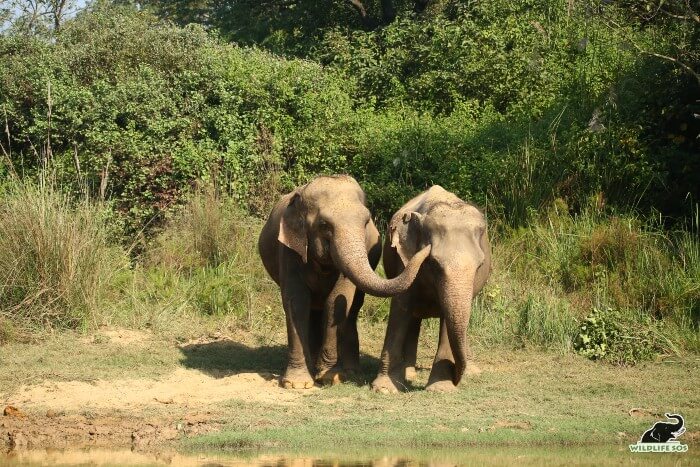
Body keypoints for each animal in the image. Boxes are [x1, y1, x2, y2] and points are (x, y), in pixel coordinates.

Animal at [258, 174, 430, 390]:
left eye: (366, 222)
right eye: (324, 225)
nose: (428, 247)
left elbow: (337, 302)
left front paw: (331, 377)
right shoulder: (289, 249)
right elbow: (296, 302)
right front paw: (297, 383)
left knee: (351, 308)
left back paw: (350, 372)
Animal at [370, 185, 490, 394]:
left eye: (480, 265)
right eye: (433, 263)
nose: (456, 376)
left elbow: (448, 320)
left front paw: (441, 388)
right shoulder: (404, 259)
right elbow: (400, 309)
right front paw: (384, 388)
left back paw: (472, 372)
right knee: (413, 318)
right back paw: (409, 374)